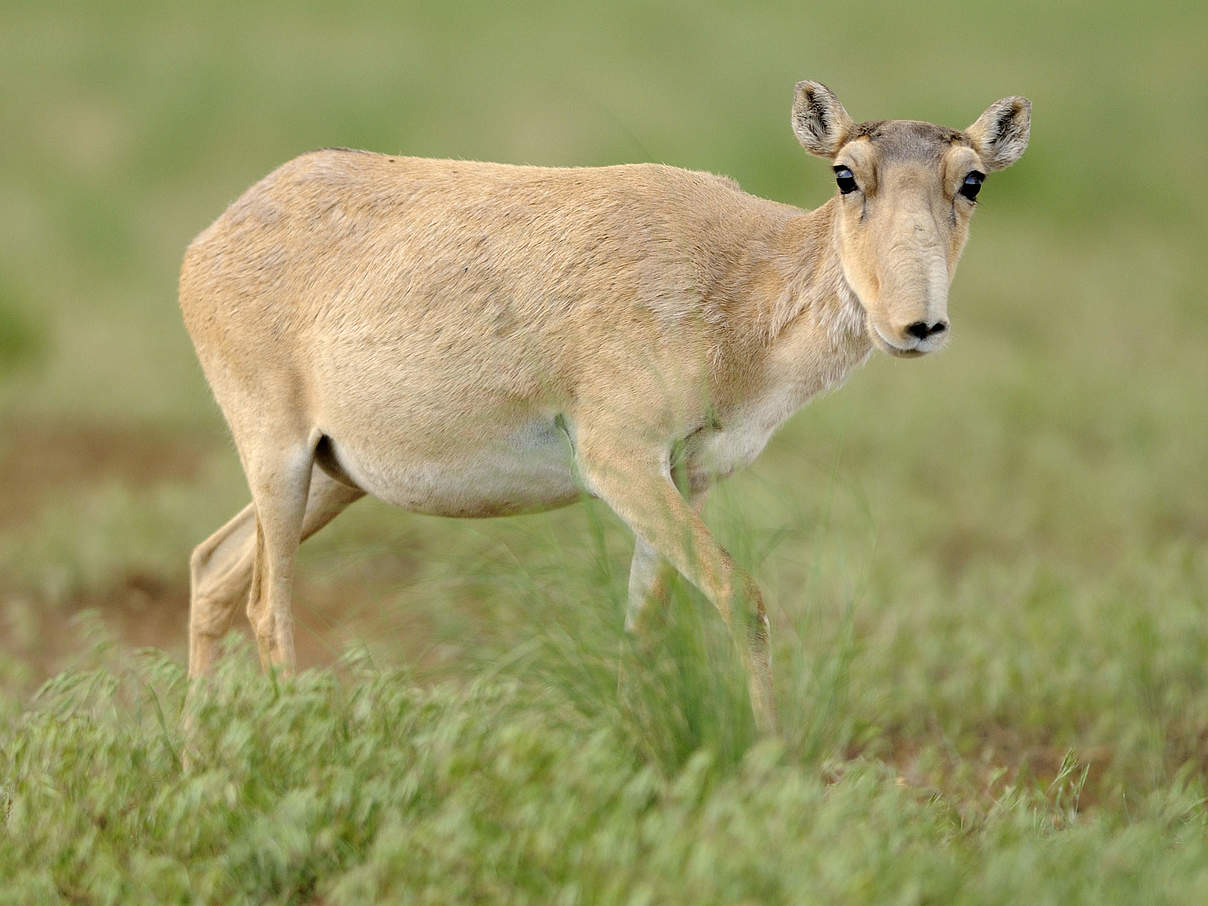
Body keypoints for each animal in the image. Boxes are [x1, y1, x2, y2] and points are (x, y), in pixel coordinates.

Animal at [178, 81, 1029, 734]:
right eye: (847, 175)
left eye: (972, 180)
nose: (917, 326)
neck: (740, 280)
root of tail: (207, 242)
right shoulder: (619, 460)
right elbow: (742, 597)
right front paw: (771, 755)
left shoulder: (684, 478)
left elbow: (645, 621)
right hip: (279, 455)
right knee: (264, 602)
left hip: (336, 476)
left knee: (213, 566)